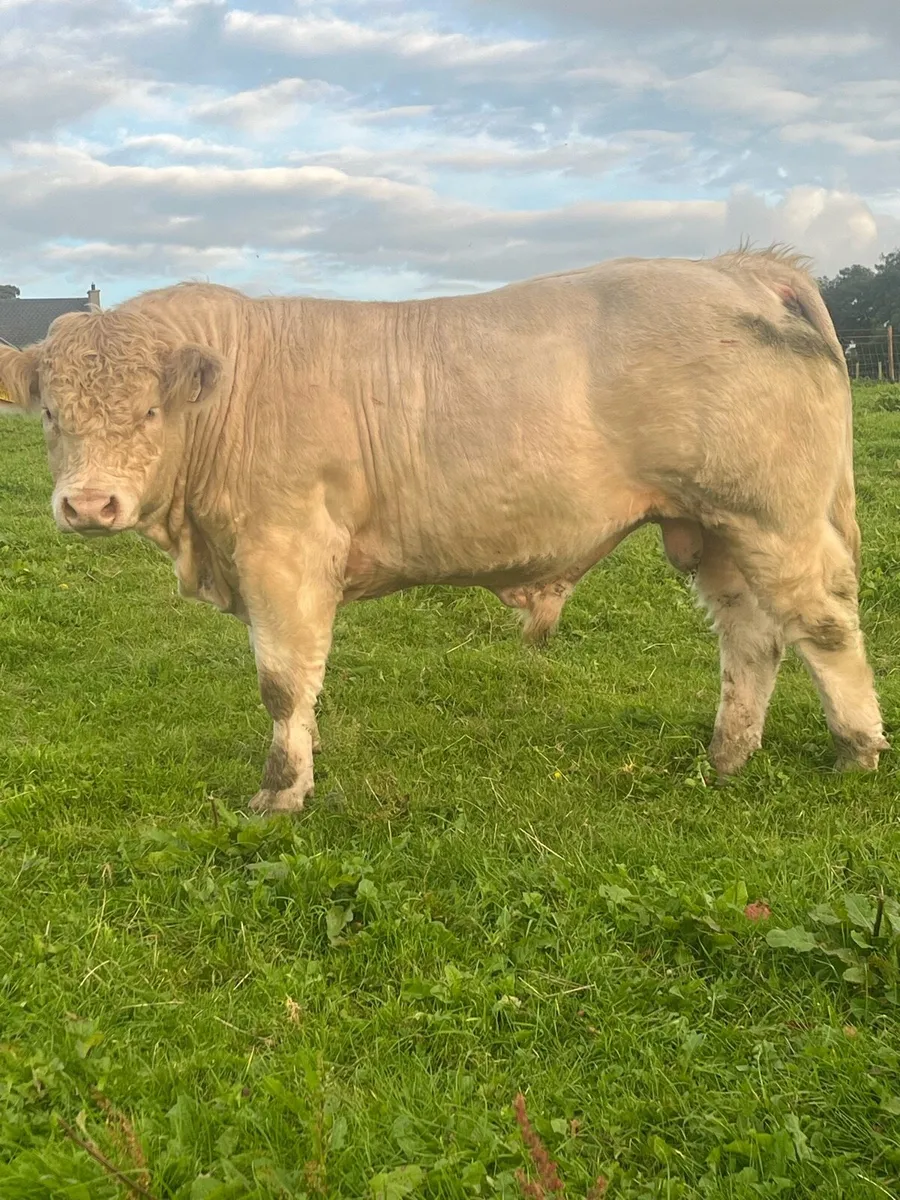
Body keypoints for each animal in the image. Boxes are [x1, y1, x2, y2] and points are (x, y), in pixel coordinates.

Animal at [0, 248, 887, 813]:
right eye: (50, 414)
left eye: (150, 411)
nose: (89, 506)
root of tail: (734, 266)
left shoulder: (284, 550)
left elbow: (282, 683)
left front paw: (280, 792)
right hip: (713, 529)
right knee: (753, 639)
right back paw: (727, 757)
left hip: (775, 519)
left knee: (825, 624)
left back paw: (857, 751)